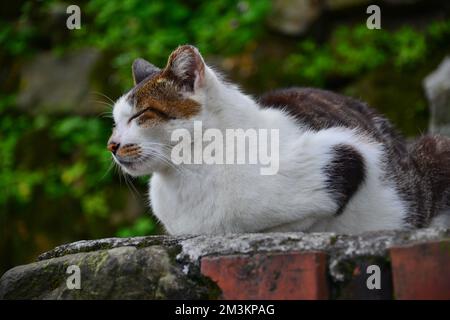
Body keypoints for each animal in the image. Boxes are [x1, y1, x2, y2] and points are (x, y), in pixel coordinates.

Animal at [108, 45, 450, 235]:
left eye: (140, 115)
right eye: (115, 122)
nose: (111, 144)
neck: (187, 172)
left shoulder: (345, 154)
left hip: (436, 146)